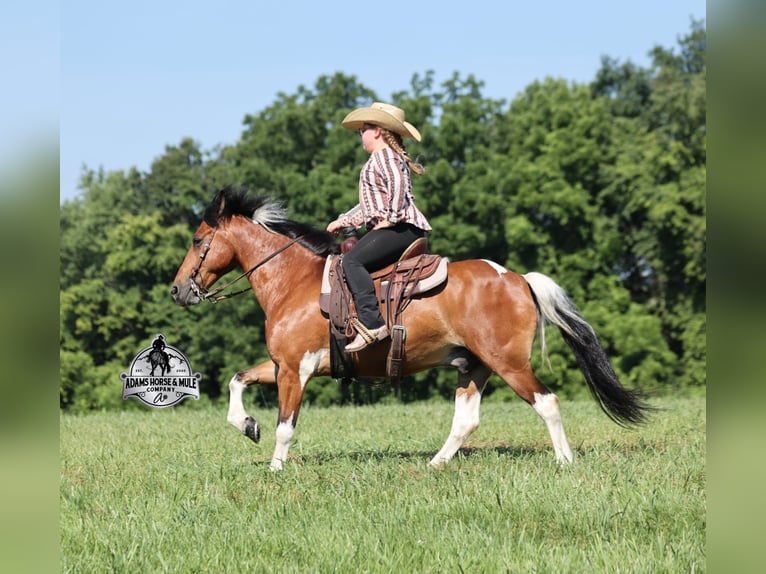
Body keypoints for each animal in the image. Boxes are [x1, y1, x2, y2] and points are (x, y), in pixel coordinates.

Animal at [171, 186, 651, 471]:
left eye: (197, 240)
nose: (178, 290)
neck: (294, 283)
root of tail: (517, 278)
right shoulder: (281, 365)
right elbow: (237, 382)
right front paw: (247, 425)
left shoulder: (296, 370)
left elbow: (285, 425)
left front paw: (275, 469)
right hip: (473, 366)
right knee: (466, 421)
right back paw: (436, 464)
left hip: (509, 363)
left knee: (547, 402)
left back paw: (564, 462)